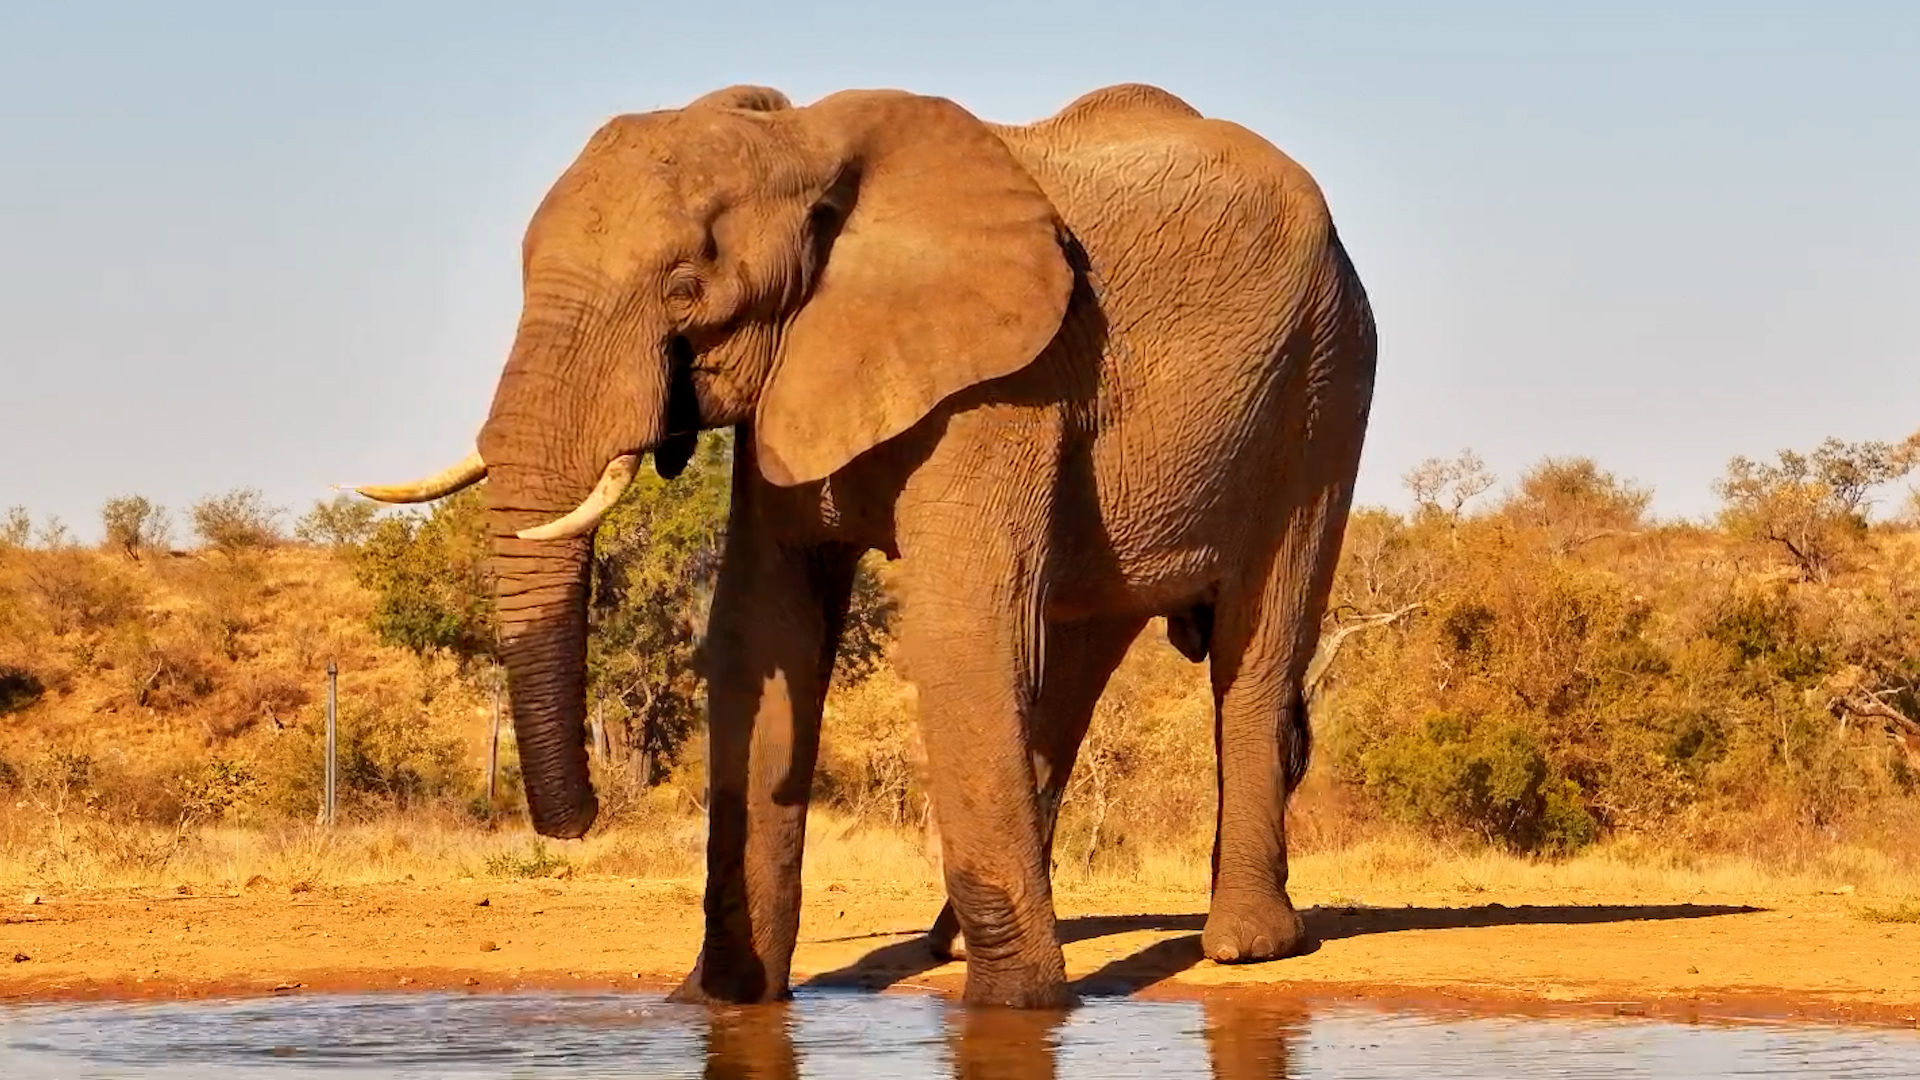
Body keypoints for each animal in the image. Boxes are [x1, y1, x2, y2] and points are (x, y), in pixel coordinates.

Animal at [356, 80, 1377, 1008]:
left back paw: (1247, 946)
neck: (803, 145)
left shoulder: (1009, 380)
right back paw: (952, 943)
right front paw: (719, 1002)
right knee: (1075, 655)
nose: (582, 822)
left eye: (686, 289)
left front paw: (1020, 1009)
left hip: (1324, 382)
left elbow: (961, 628)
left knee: (1258, 638)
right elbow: (764, 631)